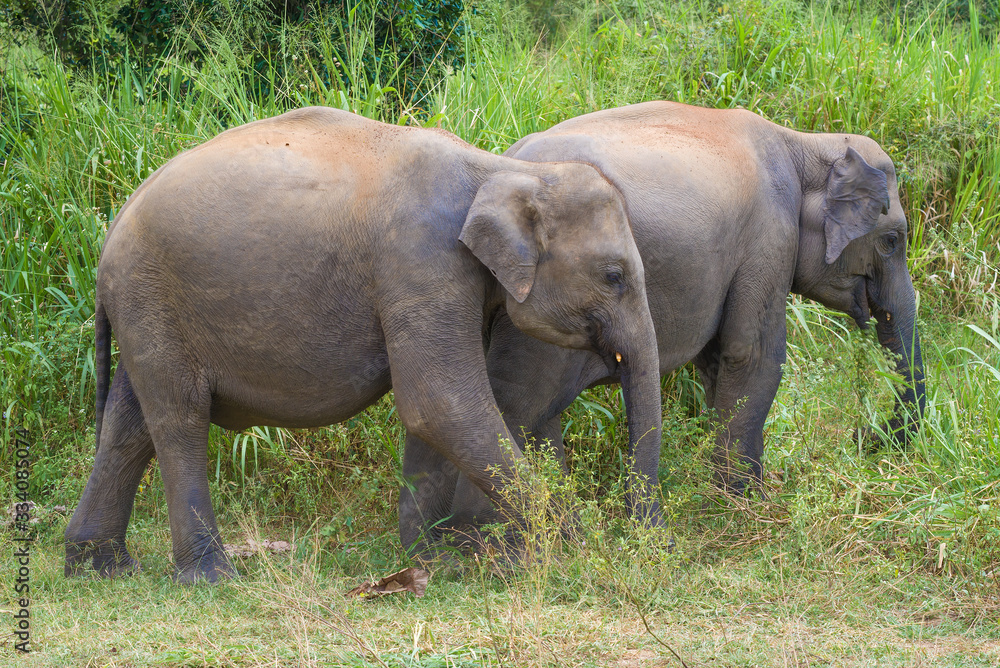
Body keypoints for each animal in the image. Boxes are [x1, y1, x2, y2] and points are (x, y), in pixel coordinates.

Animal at [64, 106, 664, 583]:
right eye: (614, 276)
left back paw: (100, 569)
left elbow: (434, 414)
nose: (640, 540)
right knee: (179, 419)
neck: (501, 170)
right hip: (153, 295)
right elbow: (441, 402)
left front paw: (433, 560)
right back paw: (211, 578)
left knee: (128, 426)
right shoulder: (422, 261)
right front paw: (582, 548)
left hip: (146, 308)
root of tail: (110, 233)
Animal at [400, 100, 926, 542]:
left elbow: (718, 363)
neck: (805, 142)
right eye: (892, 241)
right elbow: (753, 354)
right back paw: (488, 538)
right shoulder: (769, 237)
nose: (865, 437)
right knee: (521, 404)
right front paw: (749, 507)